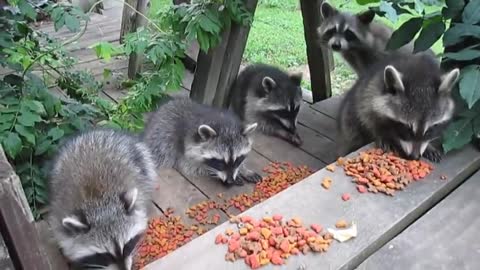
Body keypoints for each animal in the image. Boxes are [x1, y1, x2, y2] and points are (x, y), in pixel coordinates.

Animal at [46, 129, 157, 270]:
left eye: (127, 246)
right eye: (106, 255)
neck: (99, 203)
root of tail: (97, 131)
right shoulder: (59, 213)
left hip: (140, 158)